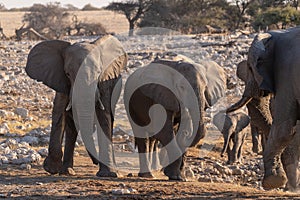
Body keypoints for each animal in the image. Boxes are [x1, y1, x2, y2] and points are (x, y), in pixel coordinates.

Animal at [25, 35, 127, 177]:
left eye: (99, 73)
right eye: (67, 74)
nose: (95, 162)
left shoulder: (105, 84)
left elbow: (103, 116)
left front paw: (109, 174)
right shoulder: (60, 81)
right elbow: (59, 112)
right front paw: (51, 169)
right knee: (72, 128)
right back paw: (67, 171)